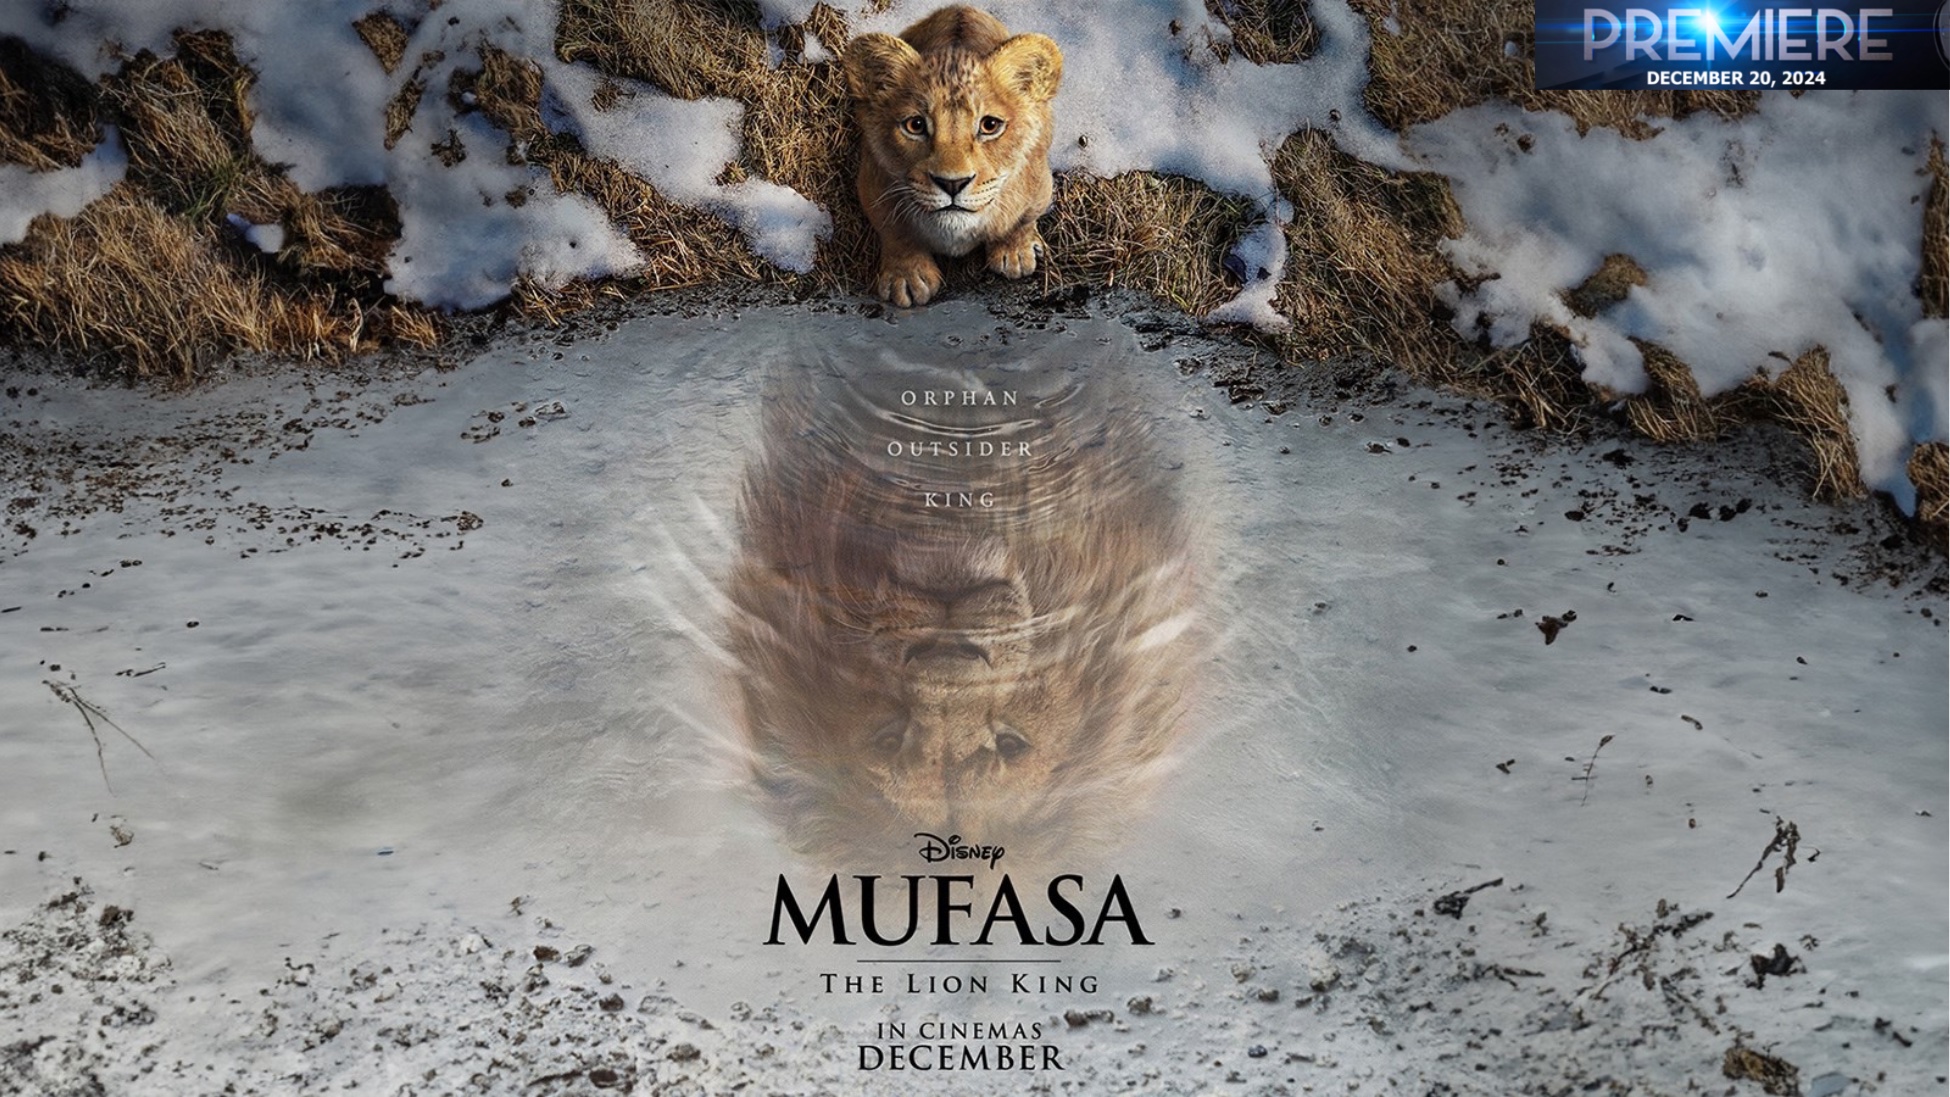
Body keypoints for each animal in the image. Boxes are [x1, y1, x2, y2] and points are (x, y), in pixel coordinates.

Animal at [842, 6, 1063, 307]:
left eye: (990, 125)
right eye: (915, 125)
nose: (952, 184)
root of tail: (961, 7)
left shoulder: (1039, 184)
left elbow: (1022, 220)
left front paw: (1016, 253)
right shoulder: (872, 183)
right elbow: (895, 232)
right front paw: (907, 277)